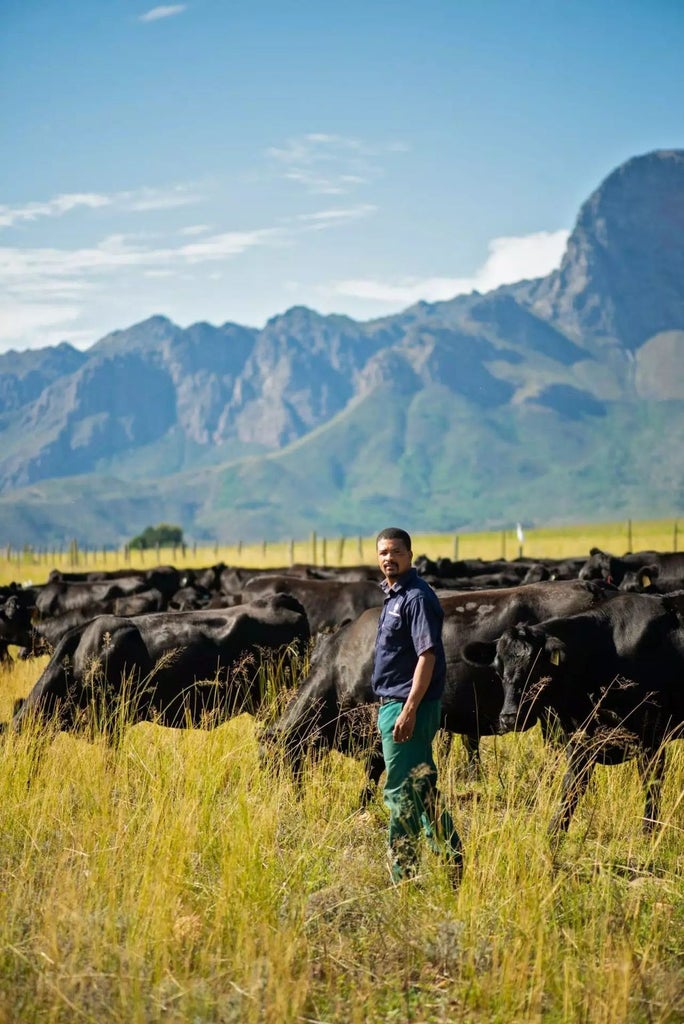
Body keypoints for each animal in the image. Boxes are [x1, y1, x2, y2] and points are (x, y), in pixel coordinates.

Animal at [462, 593, 684, 839]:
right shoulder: (580, 736)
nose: (510, 717)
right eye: (498, 670)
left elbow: (651, 784)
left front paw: (647, 834)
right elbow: (572, 787)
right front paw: (553, 837)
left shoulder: (650, 735)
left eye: (536, 668)